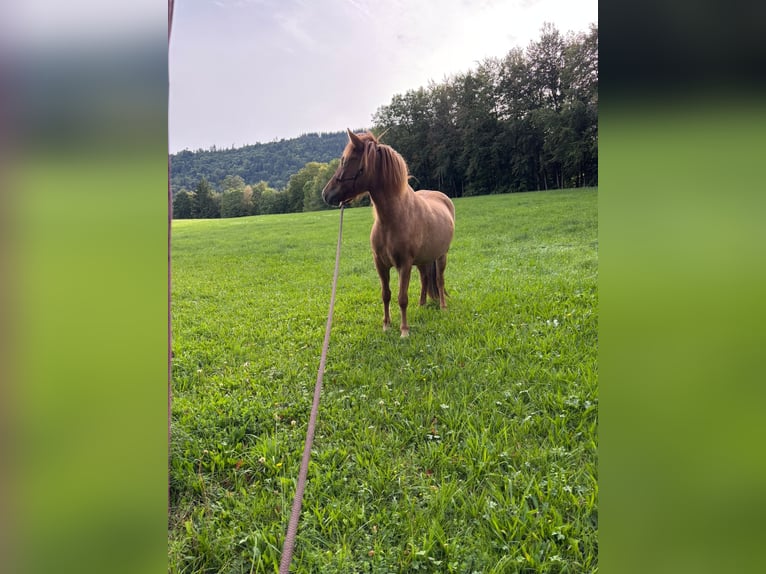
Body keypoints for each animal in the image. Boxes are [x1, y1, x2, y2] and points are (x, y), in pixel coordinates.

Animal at [322, 129, 455, 337]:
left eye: (347, 160)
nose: (326, 194)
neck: (392, 219)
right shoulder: (380, 264)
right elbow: (386, 295)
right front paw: (386, 325)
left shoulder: (404, 265)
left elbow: (402, 298)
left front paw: (404, 330)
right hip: (423, 260)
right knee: (425, 279)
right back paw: (422, 304)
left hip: (441, 256)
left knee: (440, 281)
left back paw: (442, 307)